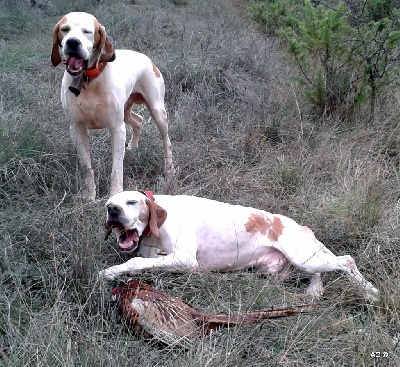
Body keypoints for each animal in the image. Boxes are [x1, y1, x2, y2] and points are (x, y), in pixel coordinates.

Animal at [51, 12, 173, 201]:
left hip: (157, 111)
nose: (72, 42)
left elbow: (116, 169)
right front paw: (90, 196)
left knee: (166, 141)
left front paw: (115, 195)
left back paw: (169, 169)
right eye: (65, 29)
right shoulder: (77, 129)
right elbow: (87, 168)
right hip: (126, 112)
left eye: (87, 31)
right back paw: (133, 147)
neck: (89, 80)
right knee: (139, 120)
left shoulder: (117, 128)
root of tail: (145, 57)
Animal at [99, 191, 378, 304]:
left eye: (131, 202)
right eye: (108, 204)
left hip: (304, 257)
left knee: (347, 260)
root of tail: (301, 226)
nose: (113, 210)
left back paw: (370, 292)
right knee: (320, 272)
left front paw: (109, 272)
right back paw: (314, 290)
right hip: (285, 266)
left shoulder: (185, 259)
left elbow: (133, 262)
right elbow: (142, 261)